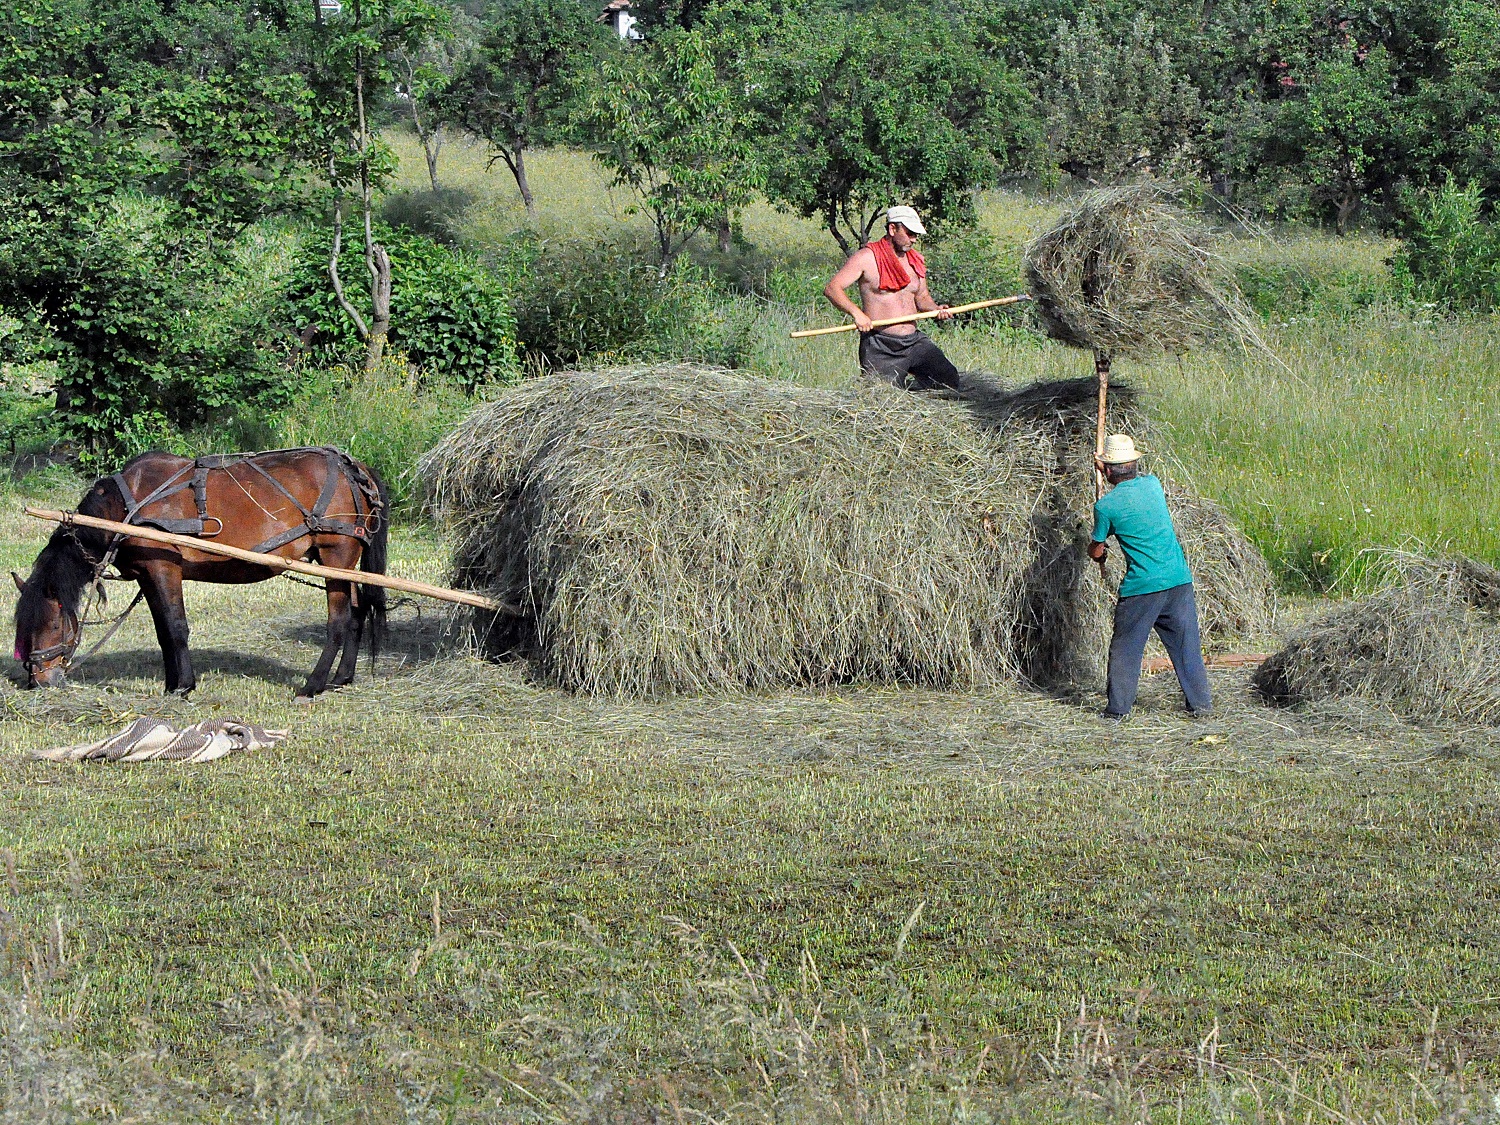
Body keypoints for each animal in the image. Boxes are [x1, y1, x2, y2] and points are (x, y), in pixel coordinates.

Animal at [13, 447, 387, 696]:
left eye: (53, 624)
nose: (37, 680)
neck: (124, 507)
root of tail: (355, 469)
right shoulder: (148, 575)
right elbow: (163, 631)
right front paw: (170, 684)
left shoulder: (164, 568)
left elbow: (176, 626)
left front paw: (185, 686)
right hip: (341, 562)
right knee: (357, 612)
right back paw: (342, 678)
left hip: (336, 555)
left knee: (339, 620)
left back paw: (314, 684)